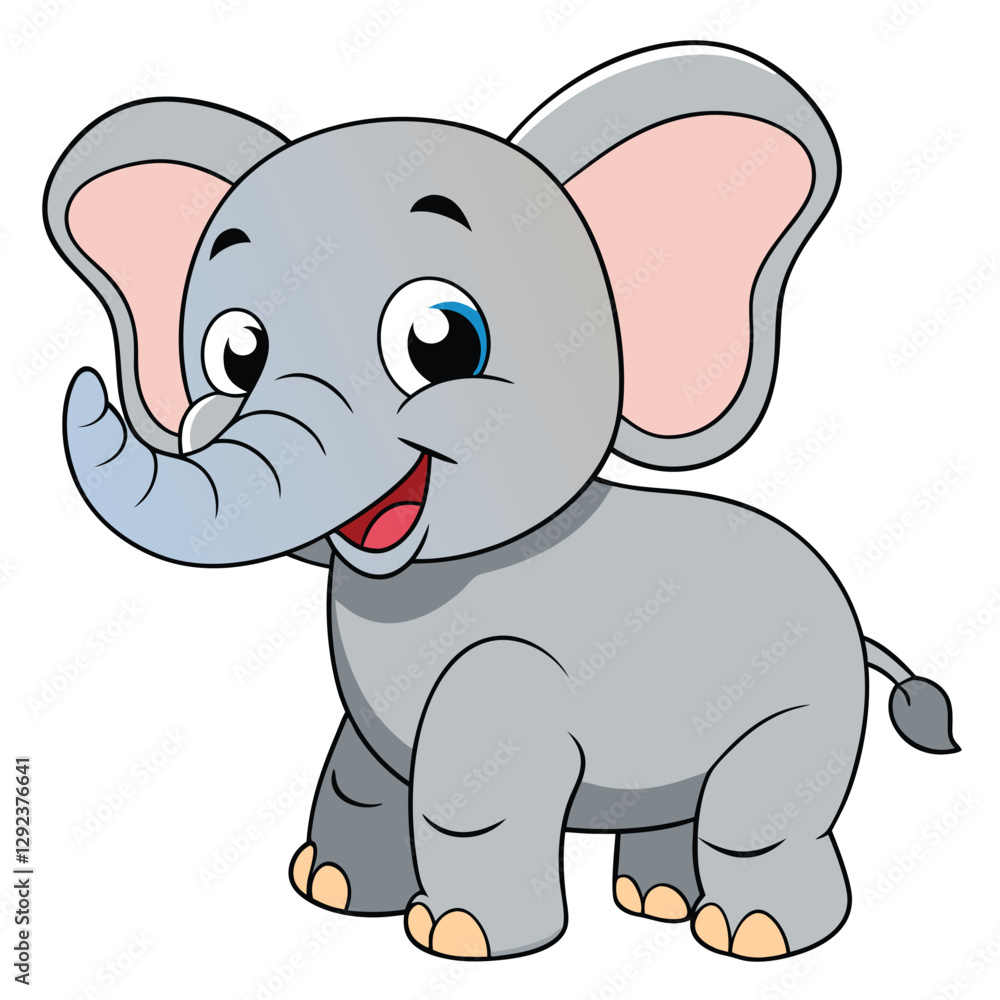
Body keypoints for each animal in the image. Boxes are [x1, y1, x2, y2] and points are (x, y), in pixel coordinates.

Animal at [45, 41, 959, 962]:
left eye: (442, 340)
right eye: (236, 356)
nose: (80, 385)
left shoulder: (509, 671)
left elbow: (475, 793)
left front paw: (458, 939)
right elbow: (362, 768)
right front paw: (332, 891)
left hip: (802, 701)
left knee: (761, 810)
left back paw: (755, 936)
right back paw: (659, 903)